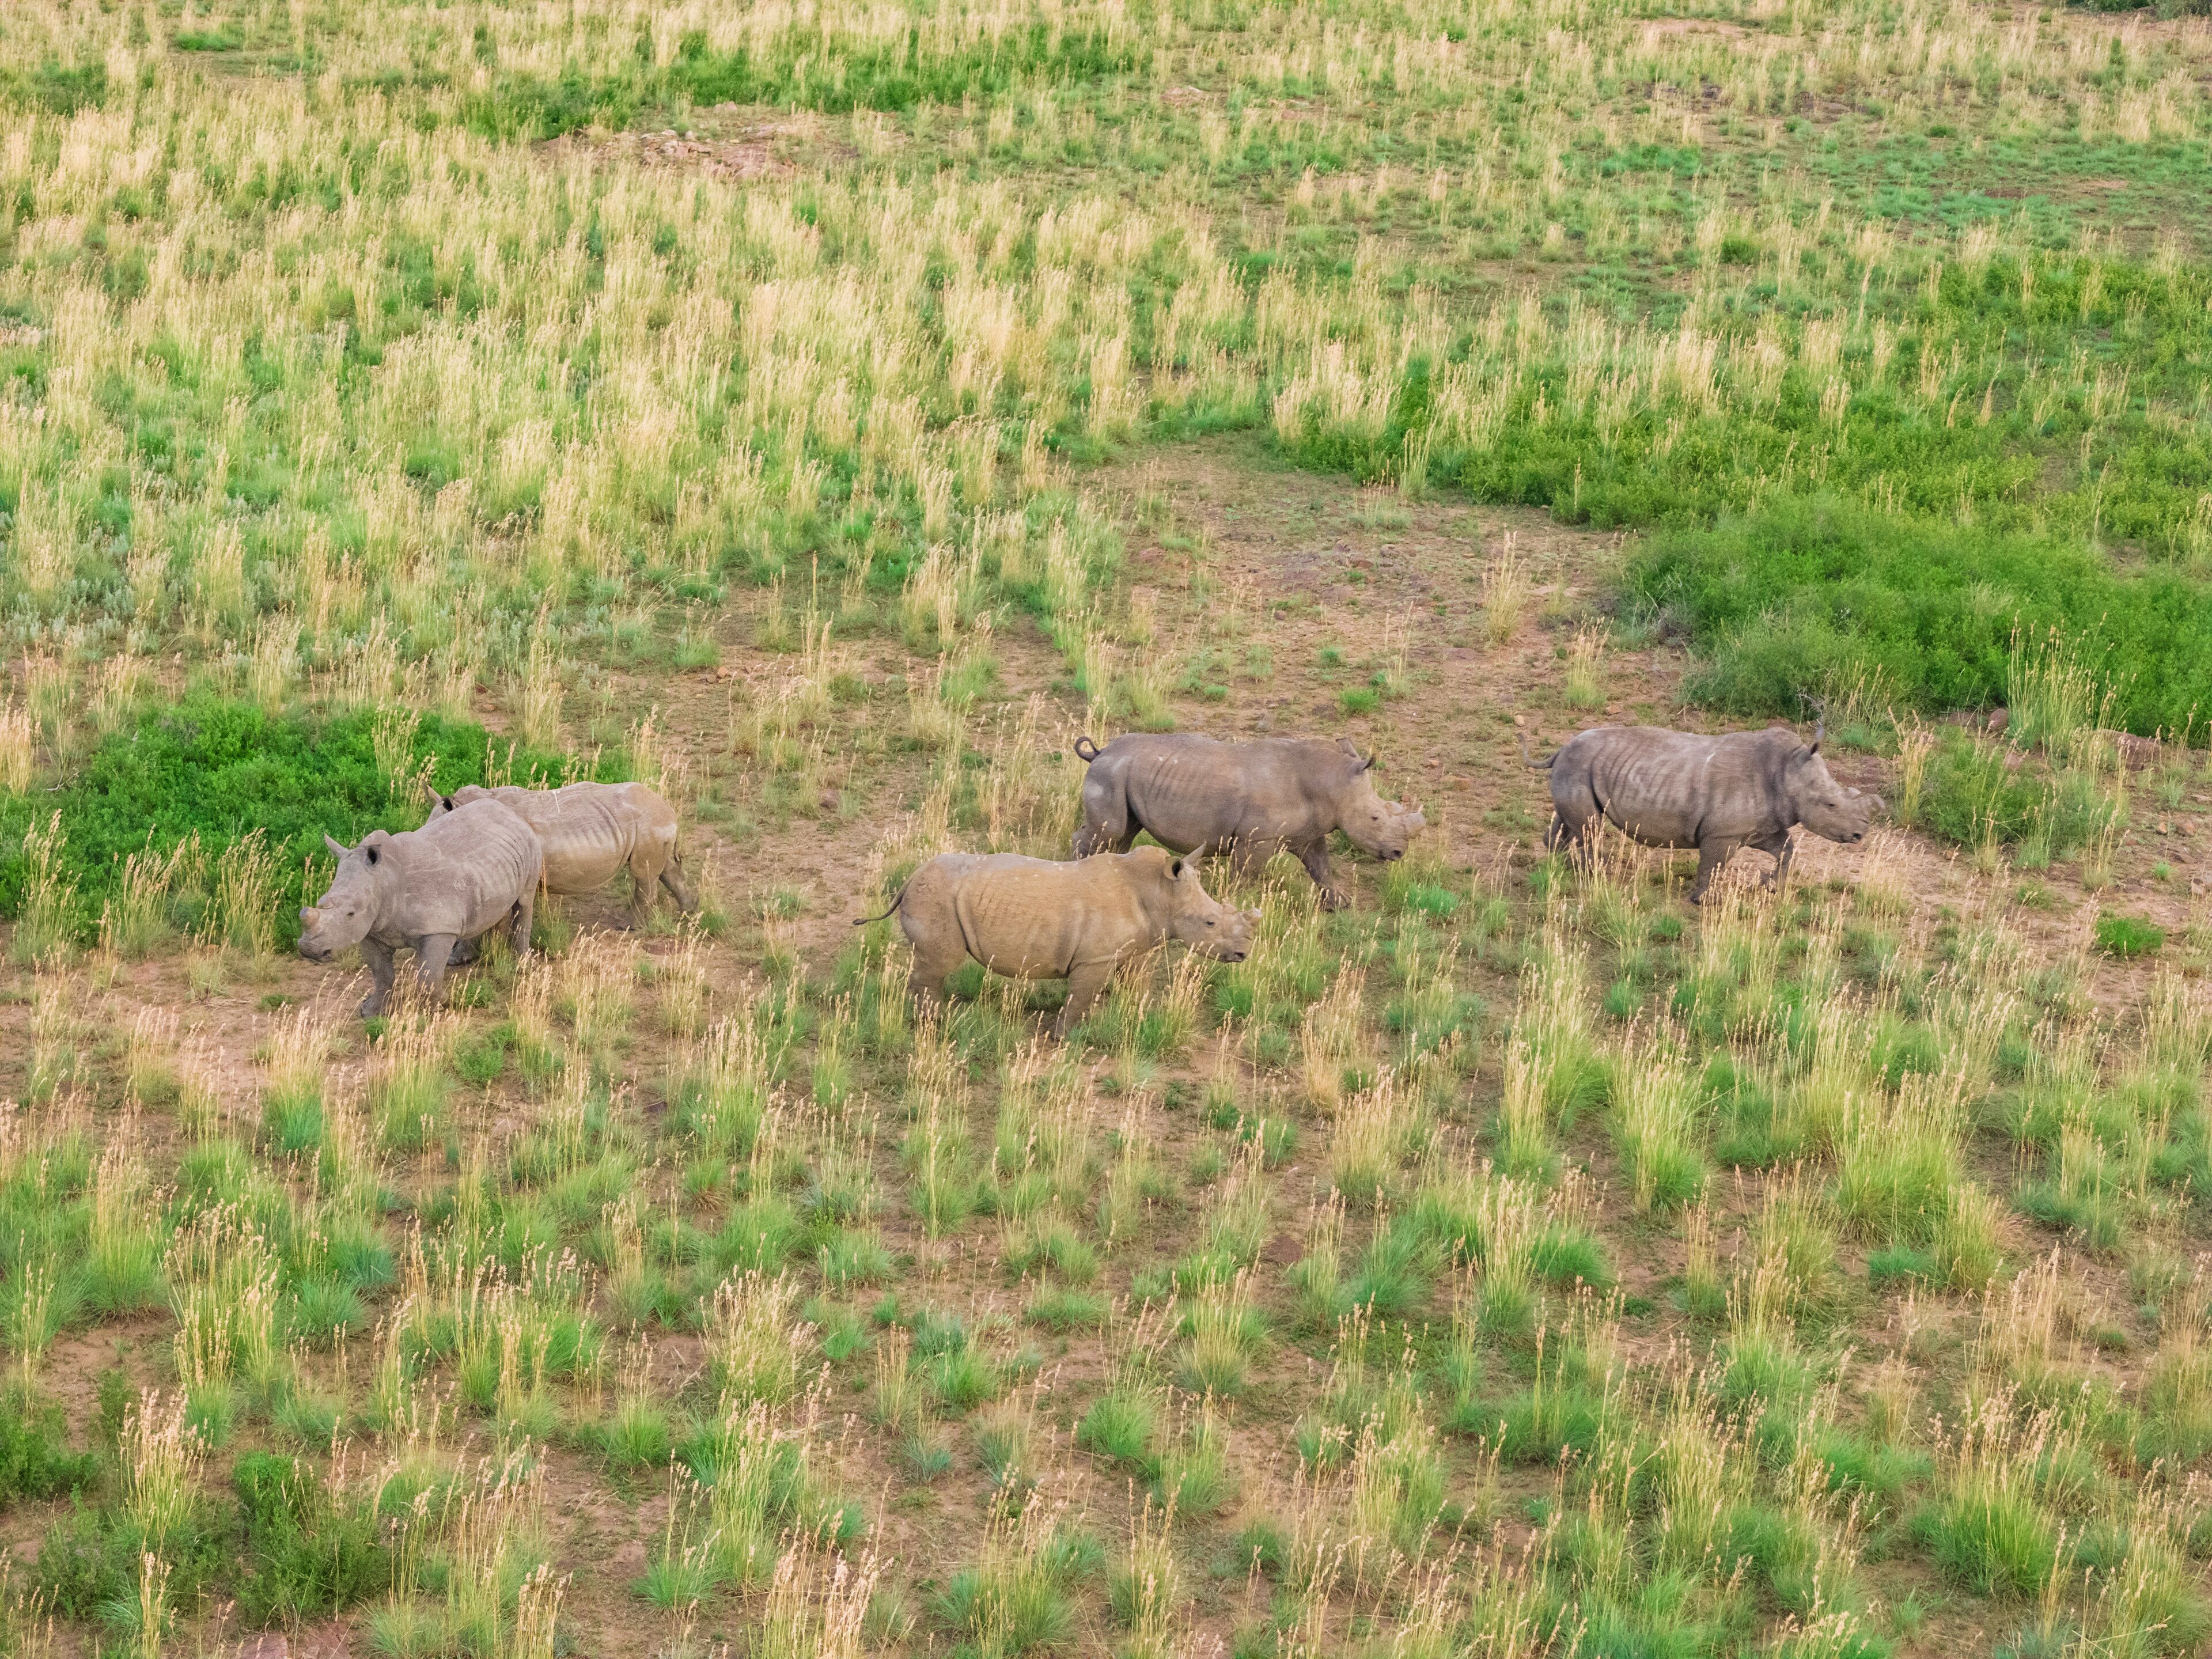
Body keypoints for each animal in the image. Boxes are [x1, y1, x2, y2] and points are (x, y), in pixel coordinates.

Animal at [299, 798, 541, 1017]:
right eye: (320, 902)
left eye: (351, 913)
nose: (308, 949)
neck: (385, 881)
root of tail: (512, 814)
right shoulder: (372, 928)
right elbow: (381, 974)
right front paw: (371, 1011)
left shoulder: (438, 928)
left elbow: (428, 978)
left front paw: (436, 1008)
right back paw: (458, 960)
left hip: (531, 843)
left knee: (525, 902)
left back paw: (522, 966)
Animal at [429, 781, 694, 924]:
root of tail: (669, 808)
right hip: (651, 823)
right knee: (665, 870)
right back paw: (689, 913)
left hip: (650, 822)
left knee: (644, 874)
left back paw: (629, 926)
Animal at [855, 846, 1258, 1036]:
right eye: (1210, 923)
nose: (1244, 954)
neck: (1160, 893)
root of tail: (910, 878)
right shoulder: (1094, 959)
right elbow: (1079, 998)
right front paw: (1064, 1039)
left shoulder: (1131, 950)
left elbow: (1138, 986)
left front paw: (1137, 1019)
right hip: (937, 897)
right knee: (939, 964)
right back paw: (934, 1024)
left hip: (937, 893)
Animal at [1071, 733, 1425, 910]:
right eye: (1375, 817)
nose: (1399, 853)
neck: (1331, 781)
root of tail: (1101, 752)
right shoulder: (1256, 838)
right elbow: (1244, 876)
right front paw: (1234, 906)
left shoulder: (1308, 833)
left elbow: (1321, 867)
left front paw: (1340, 904)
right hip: (1112, 773)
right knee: (1111, 831)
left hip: (1125, 774)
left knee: (1124, 834)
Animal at [1528, 720, 1881, 902]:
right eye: (1831, 805)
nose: (1859, 834)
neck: (1788, 770)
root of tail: (1561, 748)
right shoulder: (1722, 833)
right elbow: (1713, 864)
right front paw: (1704, 901)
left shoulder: (1758, 827)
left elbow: (1786, 848)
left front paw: (1769, 886)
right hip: (1580, 764)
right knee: (1590, 826)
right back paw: (1596, 877)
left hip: (1580, 766)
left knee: (1573, 821)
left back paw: (1558, 863)